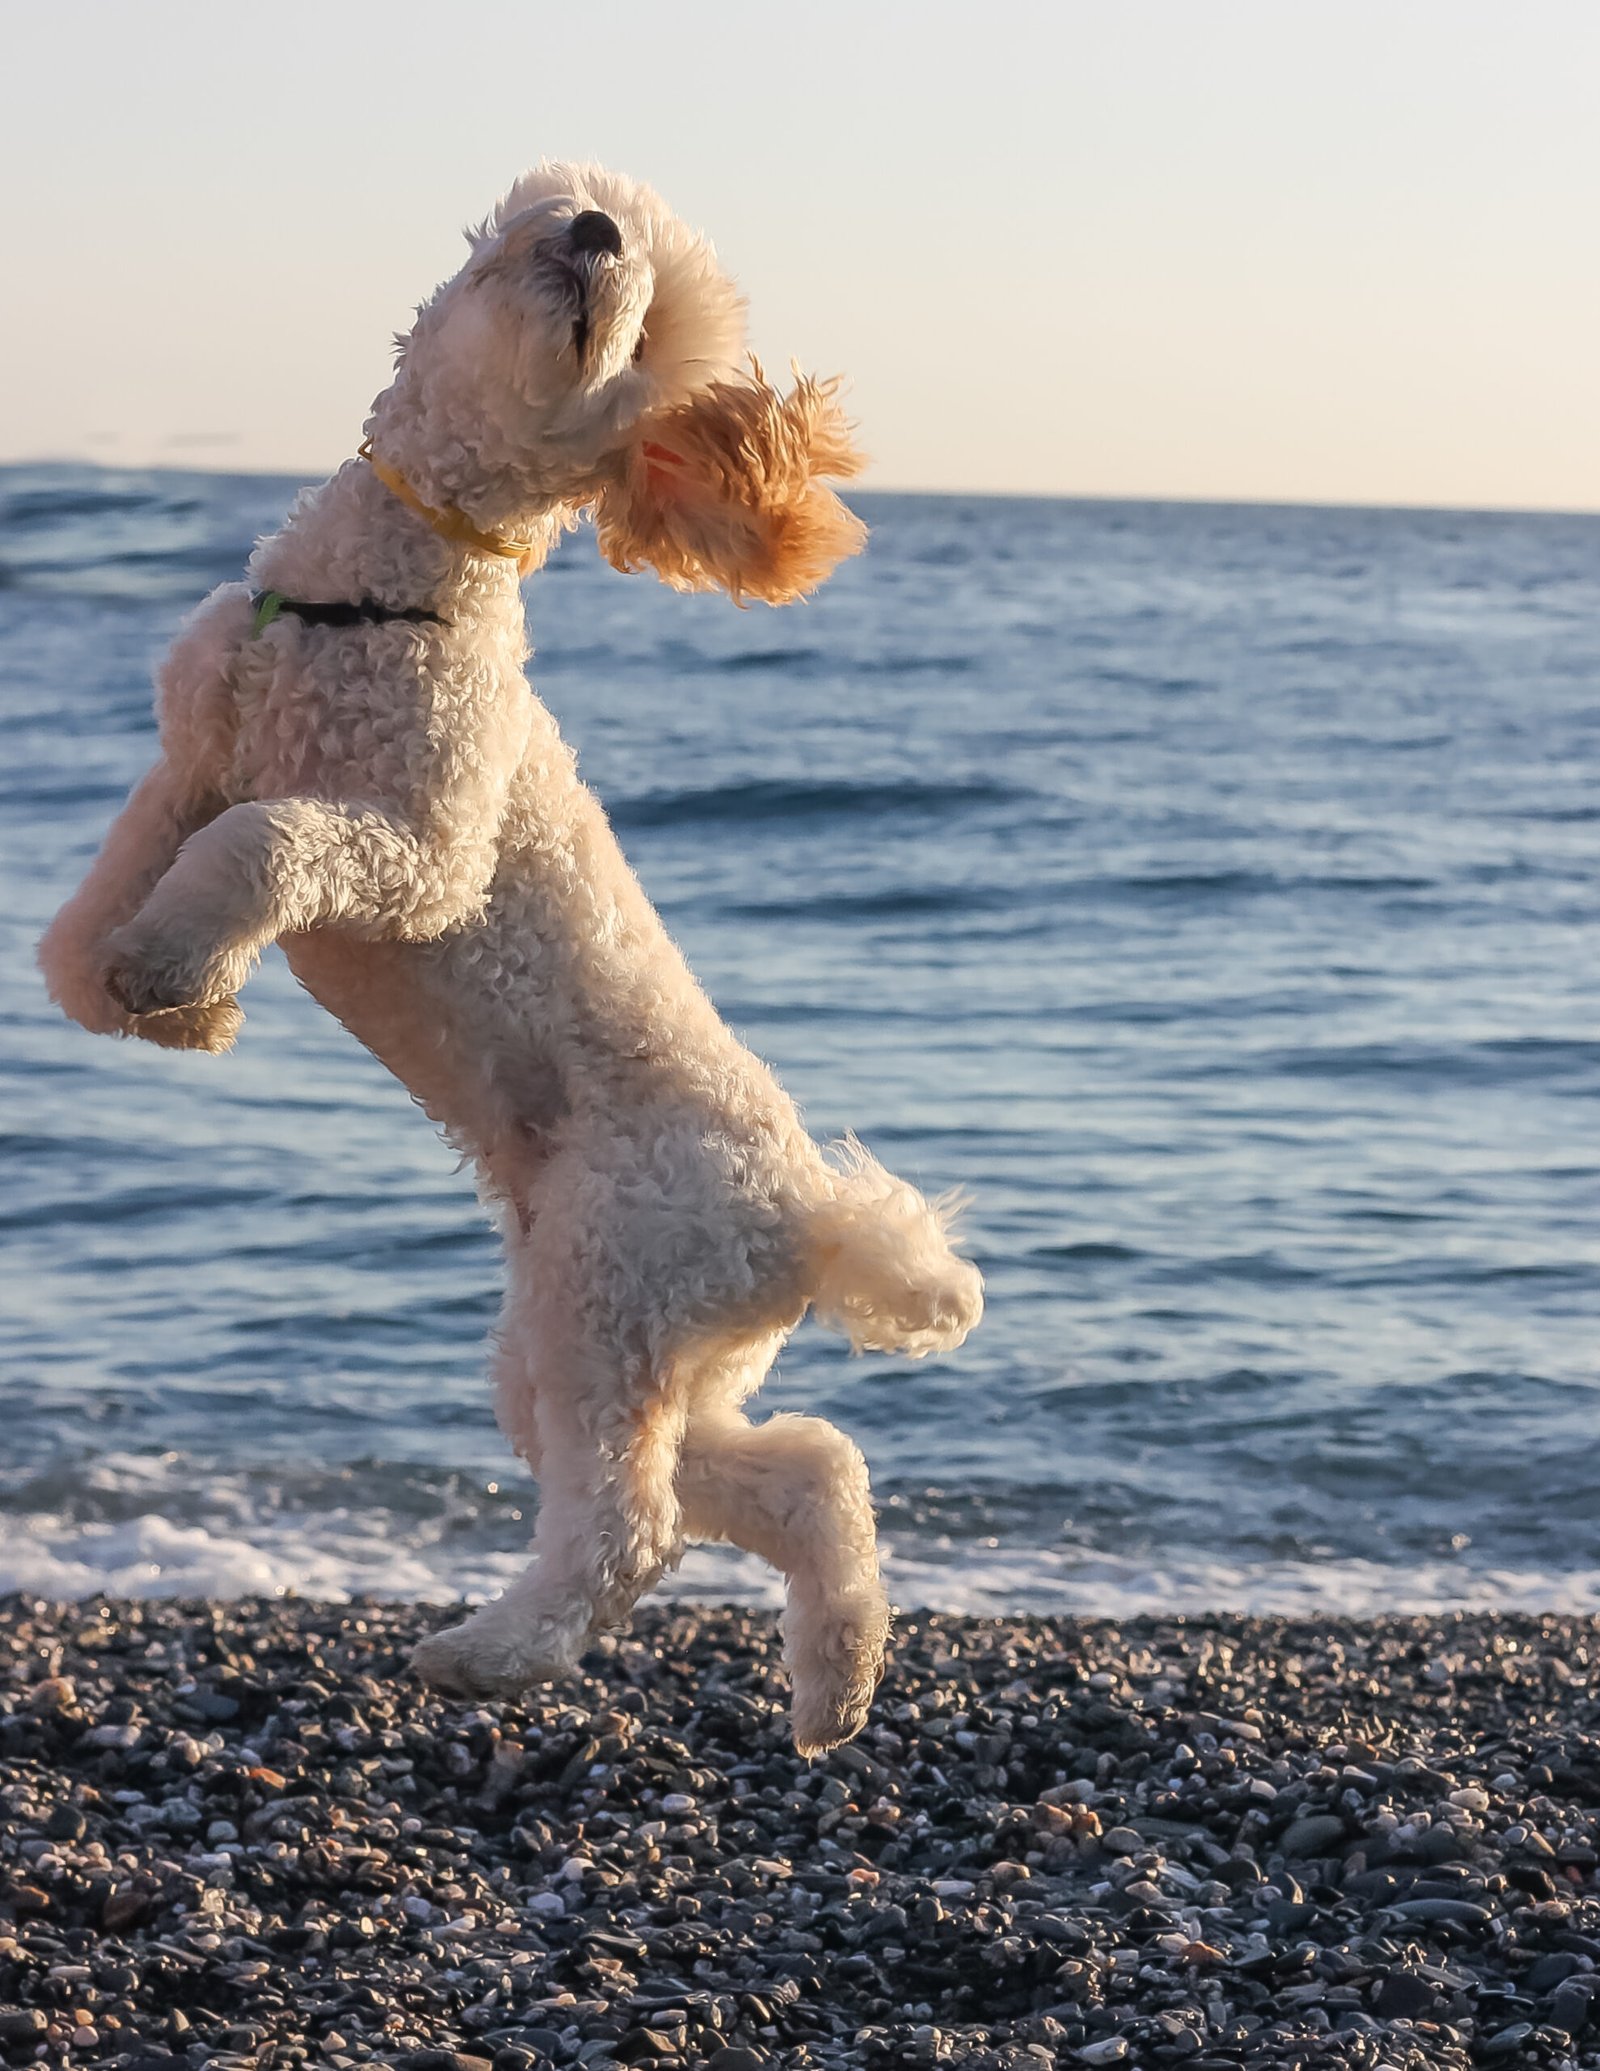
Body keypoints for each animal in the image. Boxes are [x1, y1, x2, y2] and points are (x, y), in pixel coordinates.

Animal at [37, 161, 981, 1756]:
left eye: (643, 334)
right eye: (603, 218)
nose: (594, 234)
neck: (381, 593)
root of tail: (809, 1213)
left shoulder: (413, 856)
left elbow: (266, 848)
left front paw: (175, 971)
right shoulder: (196, 752)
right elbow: (98, 899)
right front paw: (154, 994)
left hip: (608, 1291)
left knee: (633, 1525)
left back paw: (495, 1652)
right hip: (604, 1346)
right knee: (800, 1468)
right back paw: (833, 1684)